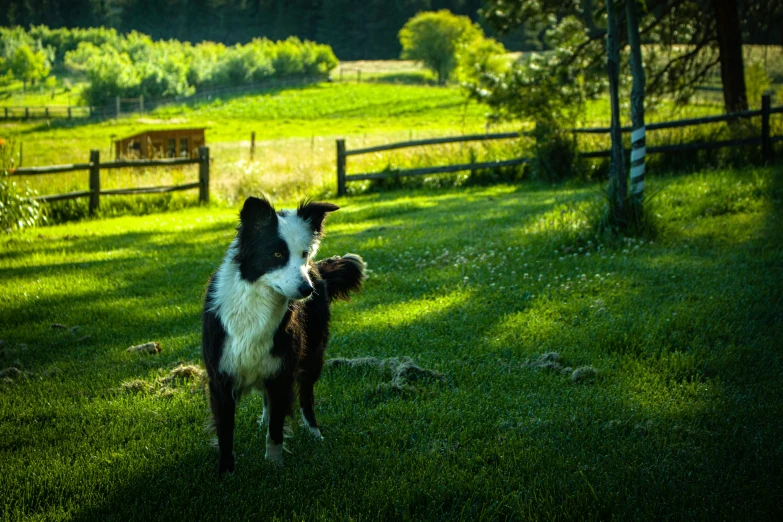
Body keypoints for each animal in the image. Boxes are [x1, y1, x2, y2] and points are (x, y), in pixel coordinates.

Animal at [201, 195, 362, 472]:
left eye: (303, 254)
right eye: (277, 254)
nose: (308, 290)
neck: (256, 302)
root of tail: (317, 270)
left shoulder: (281, 372)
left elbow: (276, 428)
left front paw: (274, 466)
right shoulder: (221, 377)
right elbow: (225, 431)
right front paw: (226, 471)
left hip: (313, 356)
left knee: (306, 397)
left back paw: (314, 432)